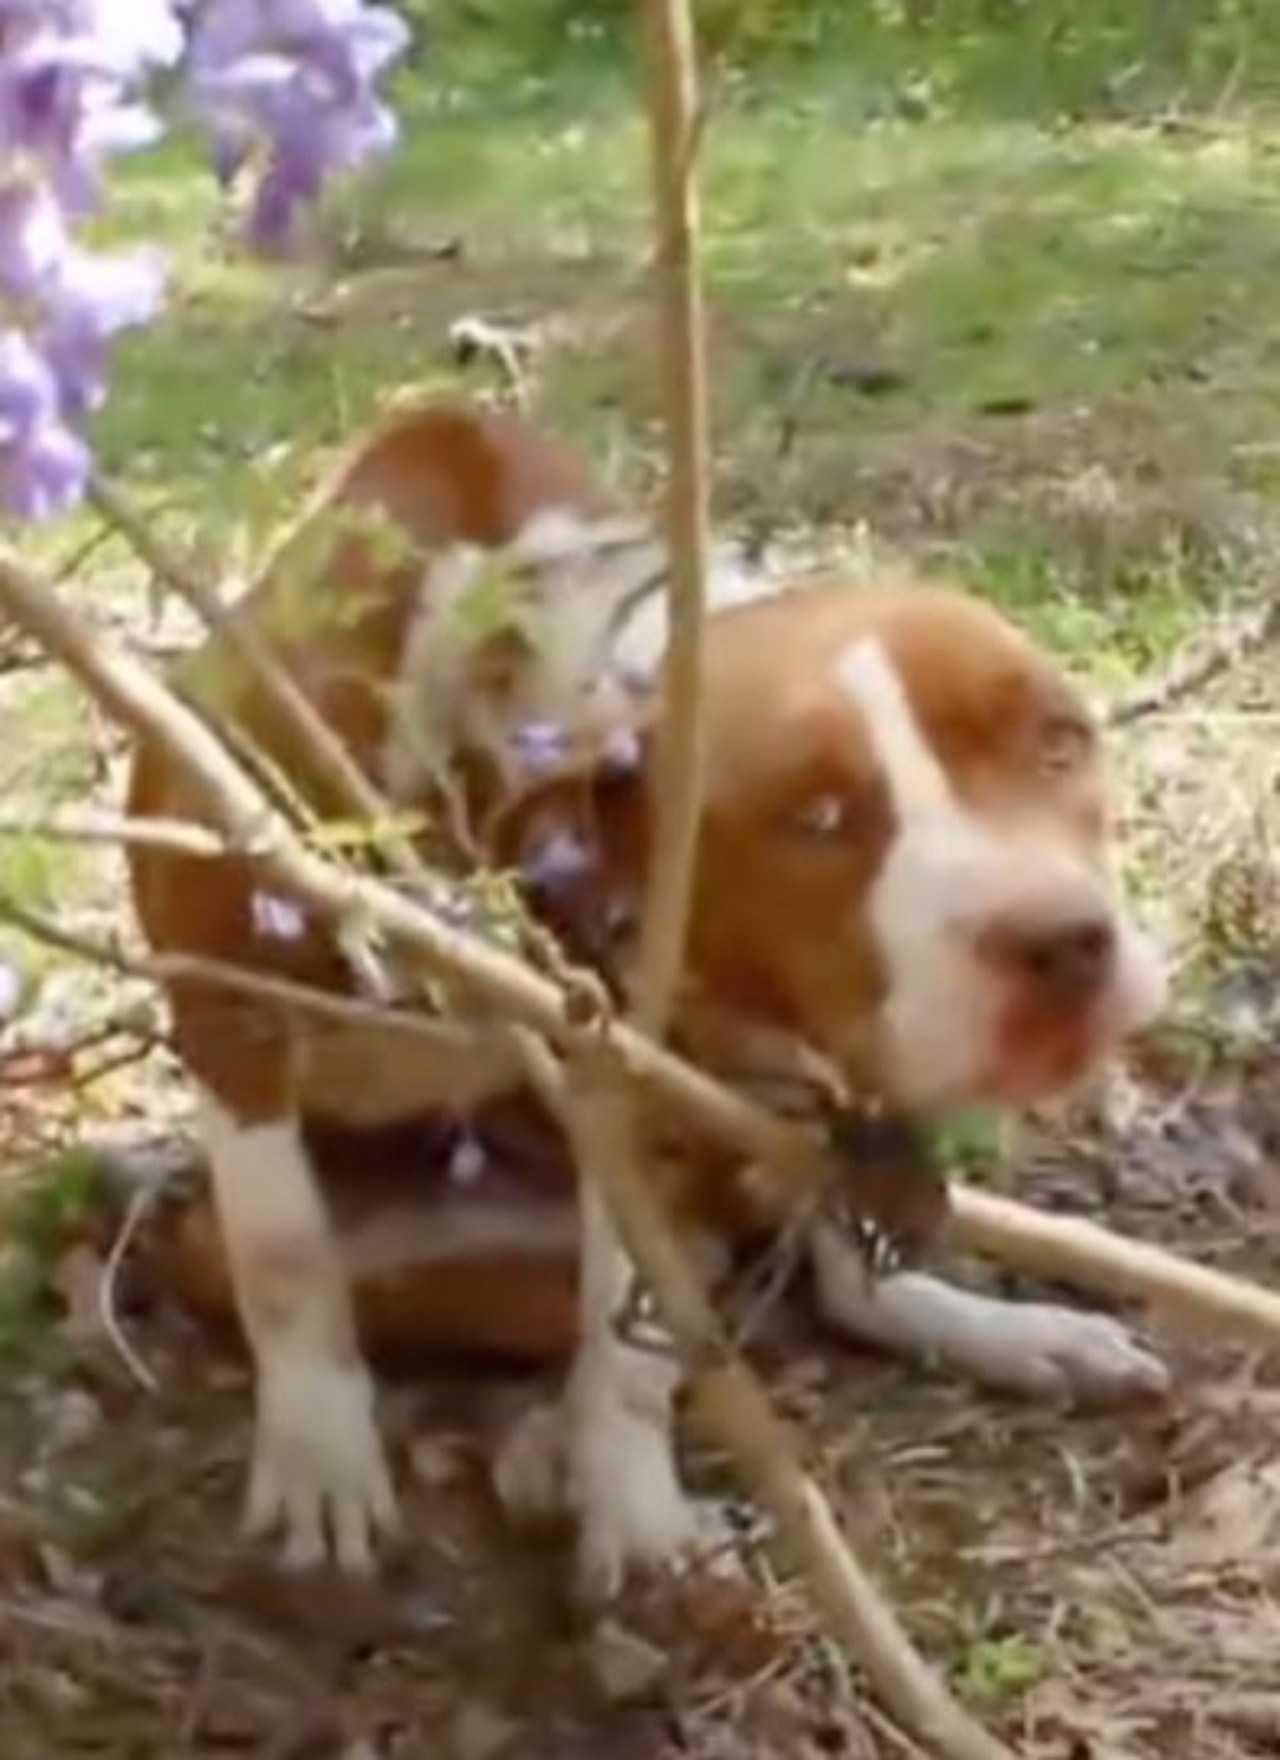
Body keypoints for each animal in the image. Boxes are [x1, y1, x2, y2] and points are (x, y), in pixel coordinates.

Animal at [127, 399, 1169, 1598]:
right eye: (816, 817)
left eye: (1060, 741)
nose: (1066, 942)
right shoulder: (223, 994)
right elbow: (284, 1249)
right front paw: (319, 1461)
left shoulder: (652, 1068)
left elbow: (632, 1333)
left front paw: (631, 1512)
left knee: (806, 1273)